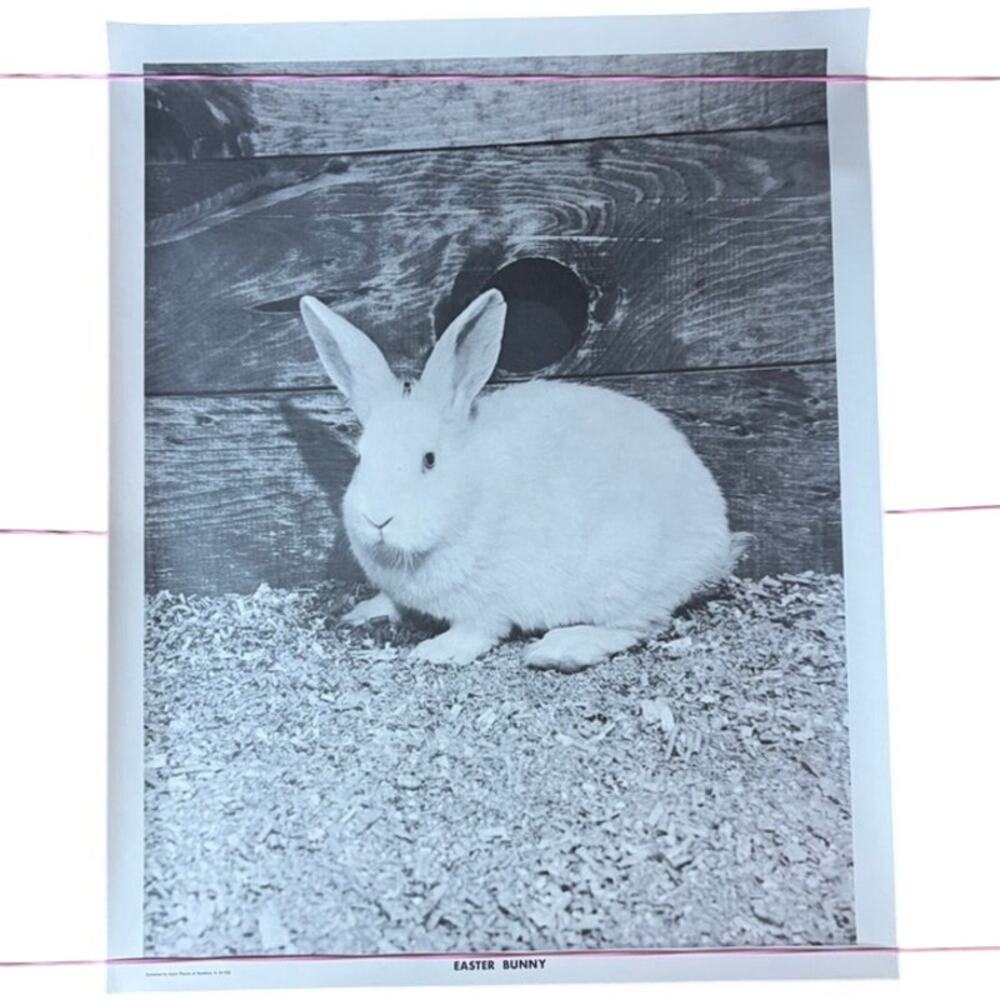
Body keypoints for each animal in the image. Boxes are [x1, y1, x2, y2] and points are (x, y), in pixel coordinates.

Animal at [300, 288, 748, 671]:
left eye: (429, 460)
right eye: (362, 456)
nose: (378, 519)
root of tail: (714, 544)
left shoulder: (488, 600)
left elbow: (477, 629)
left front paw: (438, 651)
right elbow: (392, 601)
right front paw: (364, 612)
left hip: (623, 577)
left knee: (636, 625)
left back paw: (560, 649)